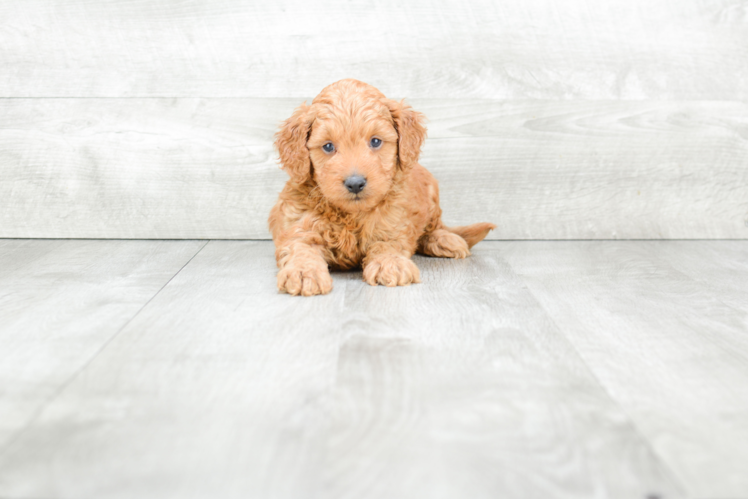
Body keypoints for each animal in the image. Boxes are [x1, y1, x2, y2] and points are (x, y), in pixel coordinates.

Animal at [268, 79, 496, 294]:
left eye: (376, 141)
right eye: (328, 146)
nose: (355, 183)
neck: (351, 215)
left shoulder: (394, 224)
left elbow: (388, 244)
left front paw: (390, 263)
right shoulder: (299, 225)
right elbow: (300, 247)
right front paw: (303, 271)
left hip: (432, 191)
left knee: (433, 227)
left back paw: (444, 240)